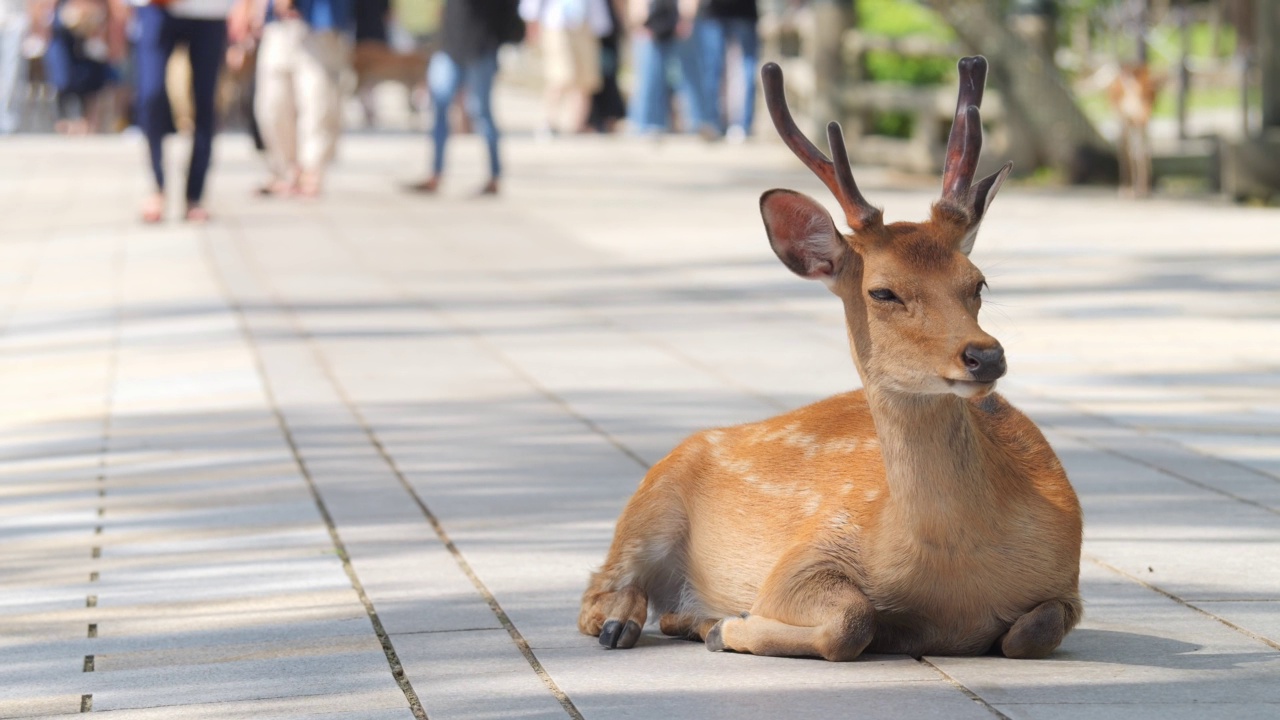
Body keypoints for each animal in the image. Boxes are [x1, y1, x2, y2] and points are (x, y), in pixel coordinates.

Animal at [581, 57, 1080, 661]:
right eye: (882, 291)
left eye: (978, 281)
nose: (985, 355)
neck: (952, 582)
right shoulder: (805, 555)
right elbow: (852, 619)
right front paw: (731, 625)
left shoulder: (1068, 581)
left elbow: (1029, 632)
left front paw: (719, 624)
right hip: (651, 499)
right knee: (598, 590)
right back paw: (629, 623)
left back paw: (687, 617)